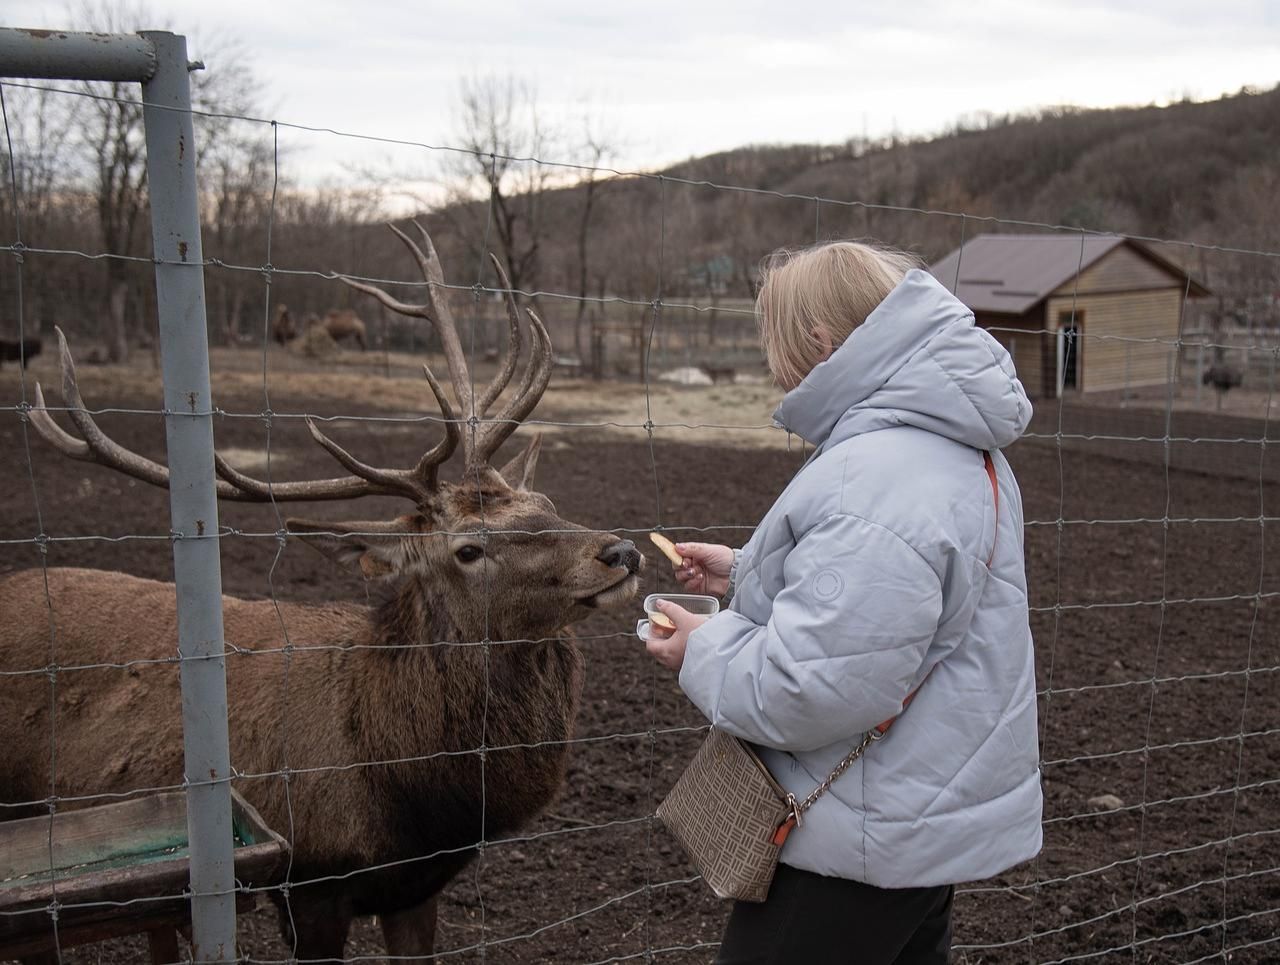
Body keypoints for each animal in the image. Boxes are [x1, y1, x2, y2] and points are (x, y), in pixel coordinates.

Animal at [0, 223, 645, 957]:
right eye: (468, 549)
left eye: (547, 500)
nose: (620, 551)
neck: (411, 791)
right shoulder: (311, 880)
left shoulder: (417, 887)